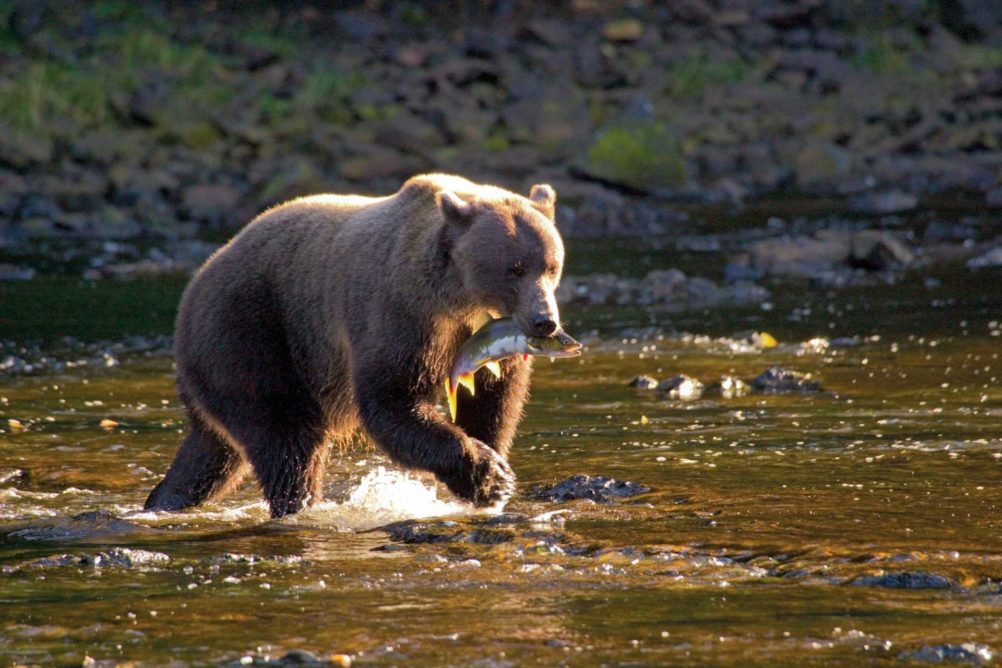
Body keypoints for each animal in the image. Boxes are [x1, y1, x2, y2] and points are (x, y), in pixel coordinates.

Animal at [143, 172, 565, 516]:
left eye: (551, 266)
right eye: (514, 269)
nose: (545, 321)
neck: (459, 300)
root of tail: (193, 287)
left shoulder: (486, 342)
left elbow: (493, 399)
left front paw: (493, 466)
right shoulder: (398, 313)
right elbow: (391, 400)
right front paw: (487, 476)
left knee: (213, 453)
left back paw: (165, 500)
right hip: (251, 335)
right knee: (287, 440)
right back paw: (298, 502)